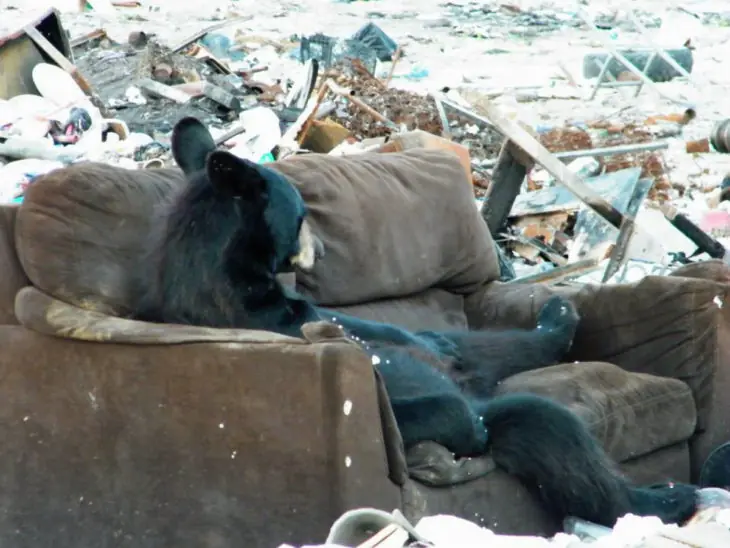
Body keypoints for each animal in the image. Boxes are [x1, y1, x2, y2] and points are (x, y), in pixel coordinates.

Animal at [135, 116, 699, 527]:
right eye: (301, 216)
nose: (321, 251)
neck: (224, 274)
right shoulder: (269, 319)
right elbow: (418, 403)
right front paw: (468, 428)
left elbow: (391, 331)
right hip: (507, 410)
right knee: (553, 435)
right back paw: (668, 499)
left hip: (459, 350)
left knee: (480, 346)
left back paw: (557, 317)